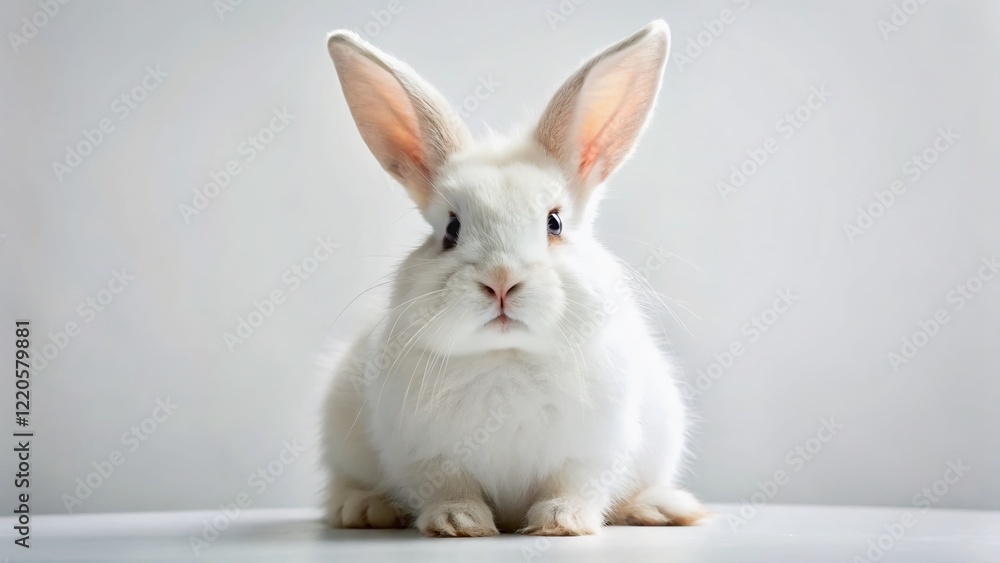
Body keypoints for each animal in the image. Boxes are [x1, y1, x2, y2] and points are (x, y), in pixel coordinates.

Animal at [321, 20, 705, 537]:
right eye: (451, 229)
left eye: (554, 223)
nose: (501, 281)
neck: (506, 356)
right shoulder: (425, 455)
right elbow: (448, 486)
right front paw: (458, 522)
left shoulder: (591, 453)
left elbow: (573, 486)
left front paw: (562, 523)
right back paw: (365, 510)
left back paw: (662, 508)